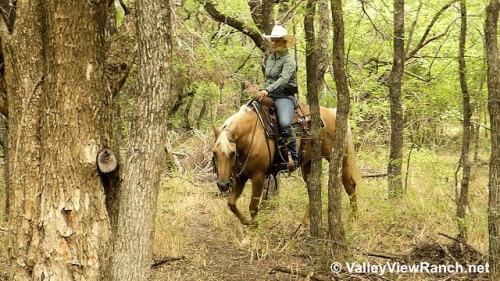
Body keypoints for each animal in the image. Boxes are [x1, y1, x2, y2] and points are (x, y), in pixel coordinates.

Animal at [212, 102, 364, 225]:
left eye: (232, 153)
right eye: (214, 153)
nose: (223, 184)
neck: (251, 137)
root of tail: (332, 112)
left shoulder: (258, 176)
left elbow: (253, 207)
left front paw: (251, 233)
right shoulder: (240, 177)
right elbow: (231, 203)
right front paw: (246, 222)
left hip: (338, 157)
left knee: (349, 184)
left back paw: (354, 219)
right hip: (309, 162)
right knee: (313, 187)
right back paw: (304, 224)